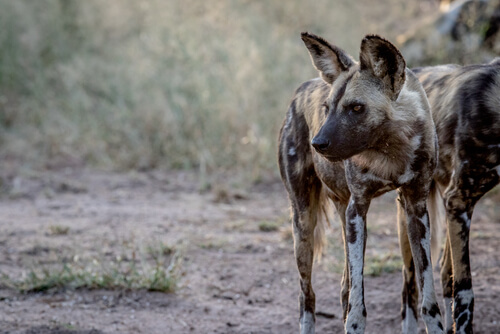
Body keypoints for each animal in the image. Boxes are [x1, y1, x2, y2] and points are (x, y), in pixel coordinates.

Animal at [280, 32, 444, 334]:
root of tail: (301, 89)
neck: (390, 149)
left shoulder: (416, 209)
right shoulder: (358, 208)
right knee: (307, 295)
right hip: (304, 224)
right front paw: (354, 324)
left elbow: (428, 296)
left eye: (356, 108)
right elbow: (357, 303)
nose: (317, 144)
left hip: (352, 215)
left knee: (345, 286)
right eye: (327, 109)